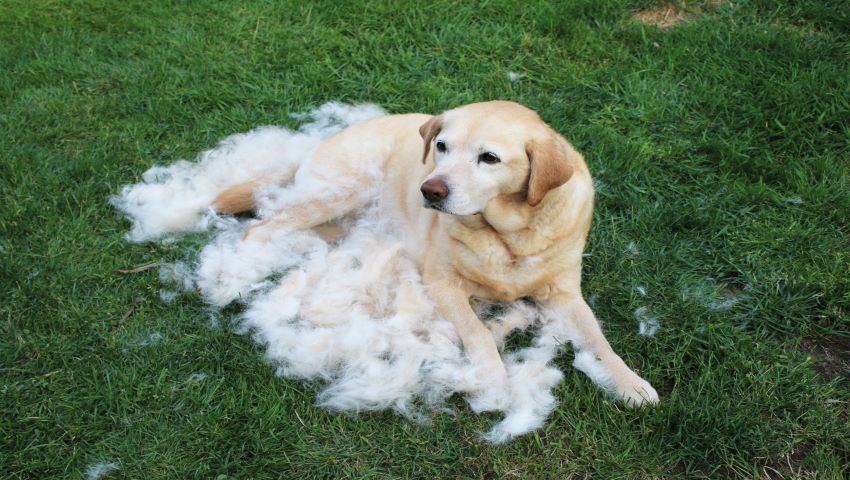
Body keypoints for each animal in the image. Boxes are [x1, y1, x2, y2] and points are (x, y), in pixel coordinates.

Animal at [210, 101, 656, 408]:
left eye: (489, 158)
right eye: (441, 146)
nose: (430, 190)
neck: (509, 237)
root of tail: (318, 145)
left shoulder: (564, 295)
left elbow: (599, 340)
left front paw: (629, 383)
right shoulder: (441, 284)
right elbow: (479, 332)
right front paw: (495, 382)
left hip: (343, 219)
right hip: (340, 191)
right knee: (260, 227)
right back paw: (232, 277)